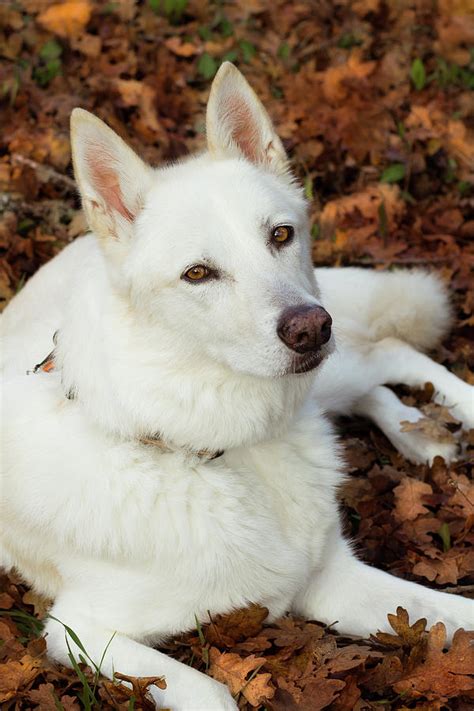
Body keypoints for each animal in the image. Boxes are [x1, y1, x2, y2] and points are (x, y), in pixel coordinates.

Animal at [0, 64, 472, 708]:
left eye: (281, 235)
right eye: (198, 273)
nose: (310, 328)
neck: (225, 450)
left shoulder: (333, 577)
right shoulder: (81, 632)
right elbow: (215, 693)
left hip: (334, 362)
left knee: (385, 354)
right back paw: (421, 436)